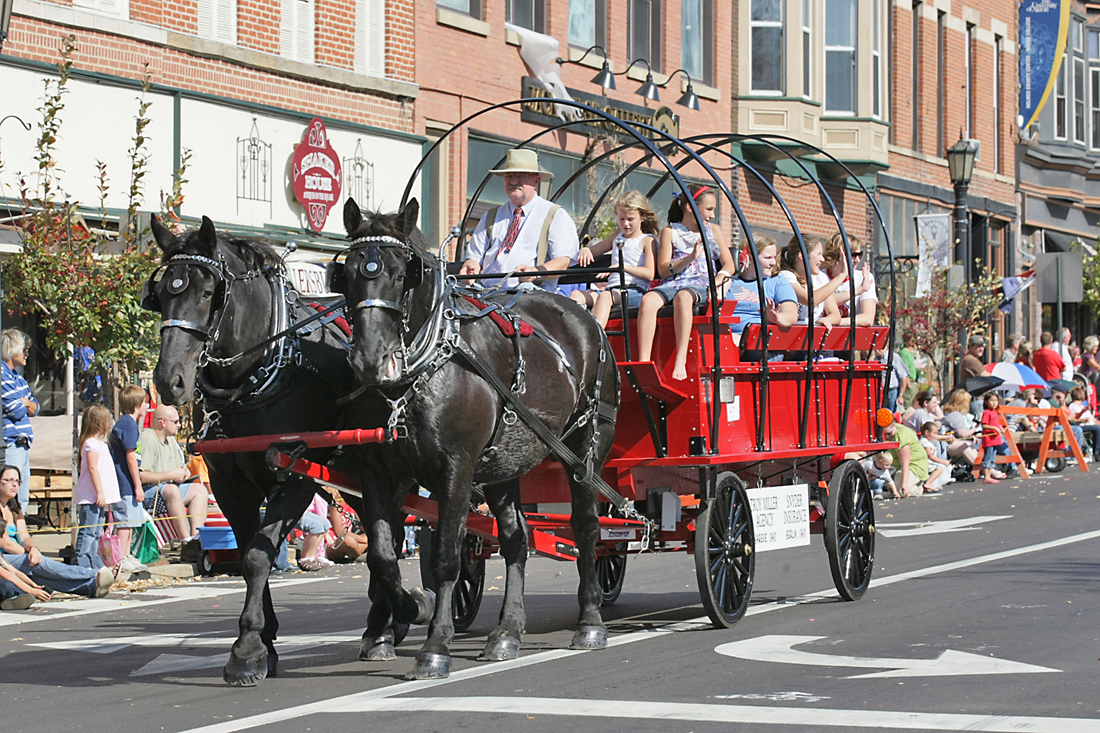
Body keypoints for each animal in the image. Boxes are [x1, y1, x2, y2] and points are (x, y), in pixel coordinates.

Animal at [146, 215, 420, 686]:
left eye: (207, 292)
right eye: (162, 292)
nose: (169, 380)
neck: (253, 379)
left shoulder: (294, 476)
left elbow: (259, 556)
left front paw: (247, 649)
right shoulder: (228, 485)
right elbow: (248, 553)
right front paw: (265, 643)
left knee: (397, 532)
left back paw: (386, 624)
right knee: (384, 533)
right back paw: (381, 624)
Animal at [336, 197, 620, 677]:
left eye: (402, 273)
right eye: (349, 273)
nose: (370, 361)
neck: (430, 364)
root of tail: (587, 320)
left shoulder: (456, 469)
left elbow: (445, 557)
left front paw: (434, 646)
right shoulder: (377, 470)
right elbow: (382, 555)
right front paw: (407, 610)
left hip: (587, 448)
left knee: (587, 529)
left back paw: (590, 622)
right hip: (504, 466)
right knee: (516, 541)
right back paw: (506, 632)